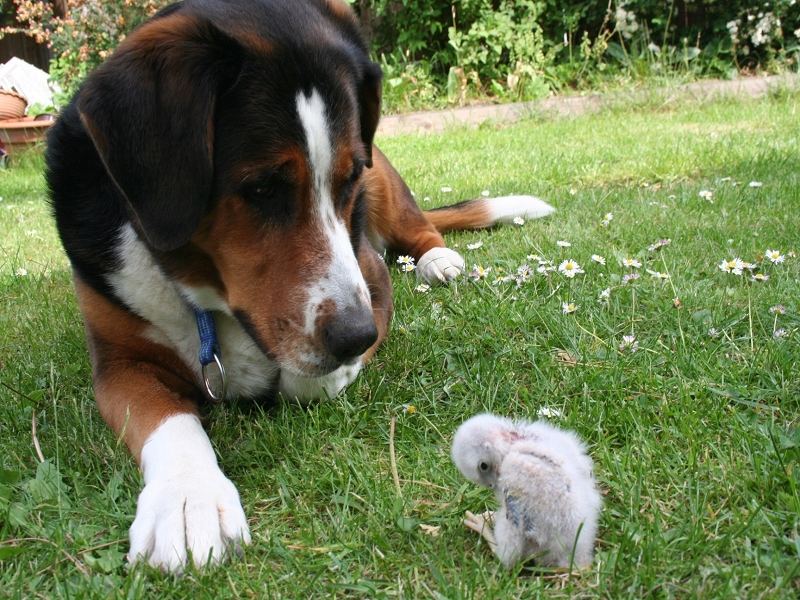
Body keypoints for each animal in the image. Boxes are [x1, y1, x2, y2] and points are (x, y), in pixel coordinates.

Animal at [43, 0, 556, 572]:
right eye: (263, 187)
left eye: (349, 178)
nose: (356, 336)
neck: (204, 294)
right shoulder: (120, 362)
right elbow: (168, 421)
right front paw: (187, 496)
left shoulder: (371, 278)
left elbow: (306, 379)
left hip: (389, 187)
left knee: (423, 230)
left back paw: (438, 261)